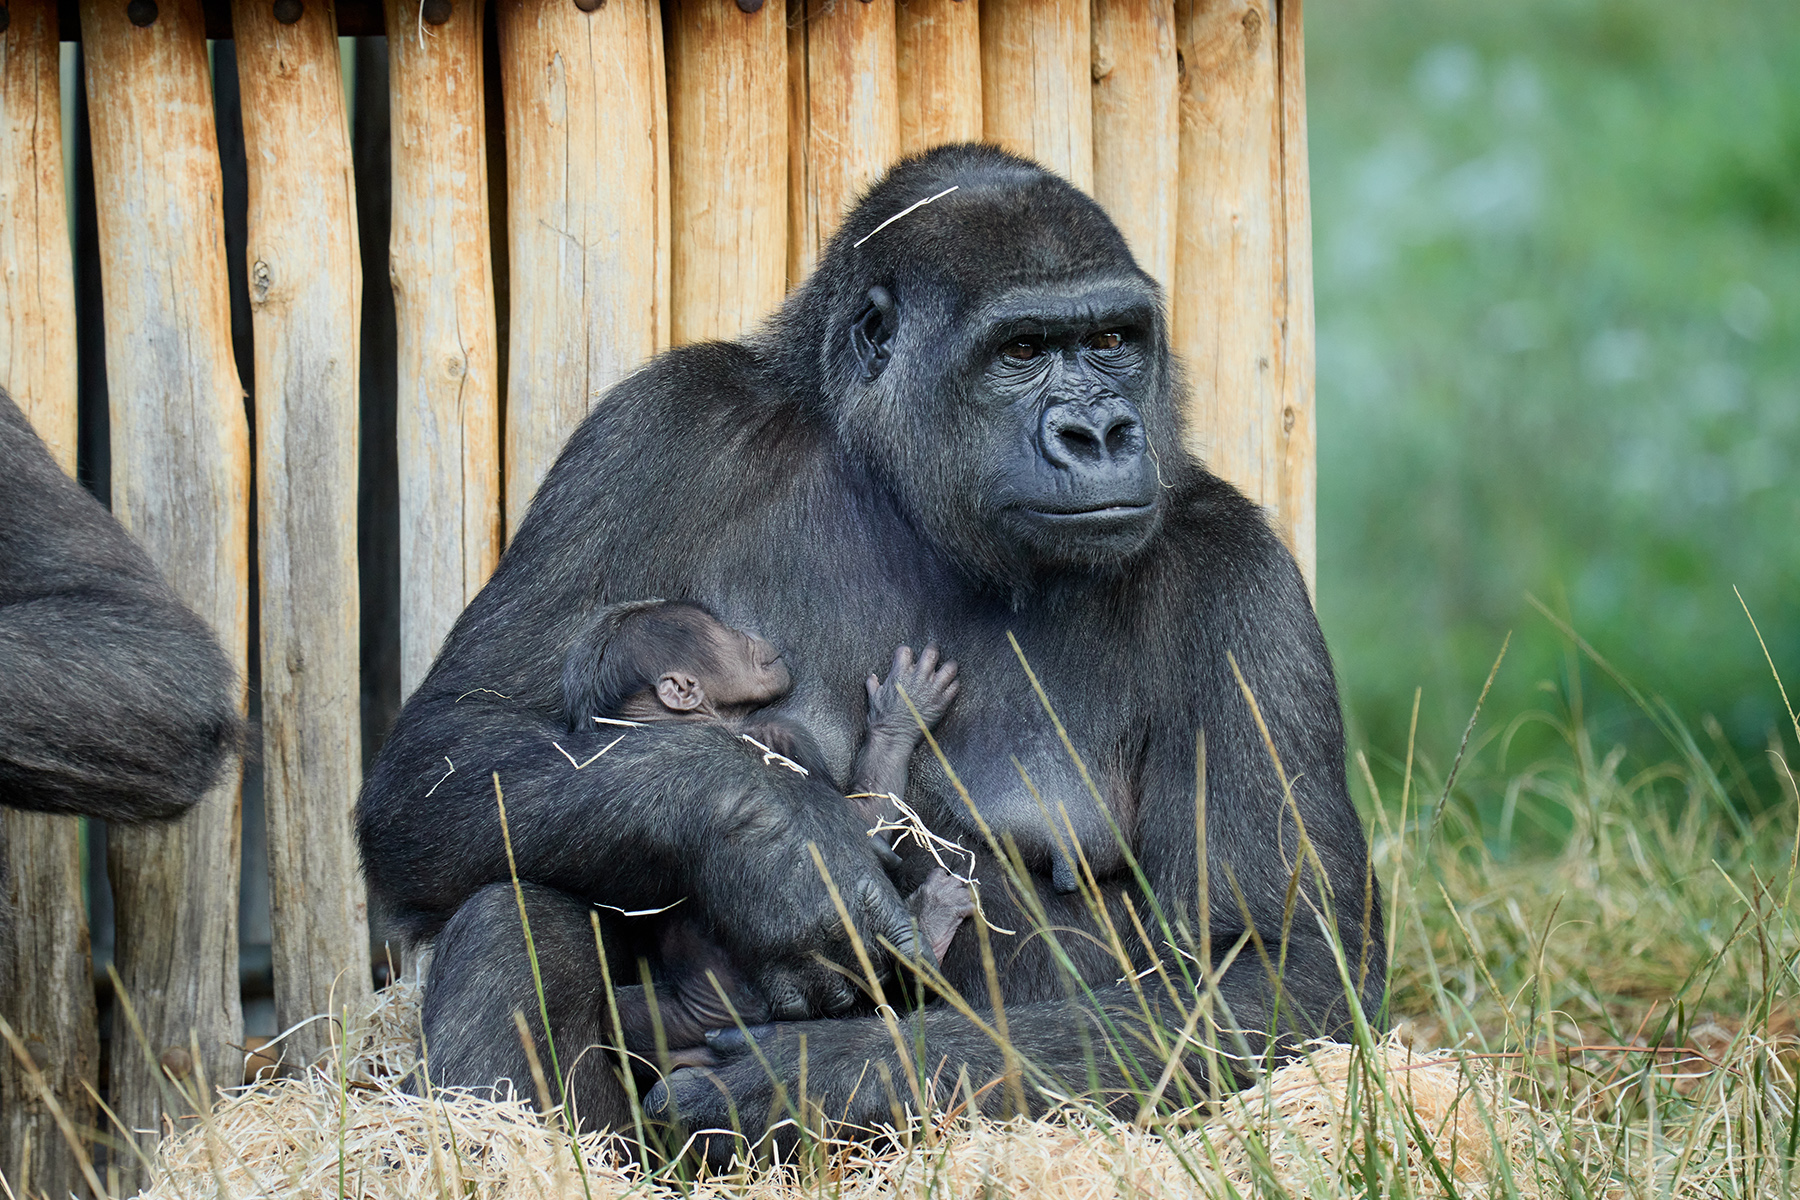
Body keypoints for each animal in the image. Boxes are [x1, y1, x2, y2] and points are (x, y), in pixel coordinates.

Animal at [568, 600, 979, 1057]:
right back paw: (932, 919)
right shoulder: (781, 730)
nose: (747, 633)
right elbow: (858, 824)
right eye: (725, 632)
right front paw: (900, 715)